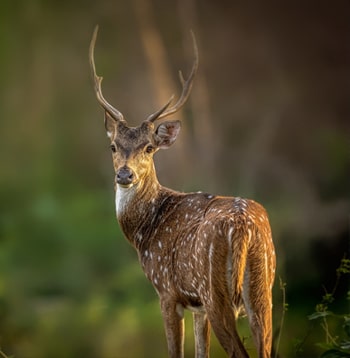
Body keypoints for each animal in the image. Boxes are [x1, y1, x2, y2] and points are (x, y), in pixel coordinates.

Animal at [89, 26, 276, 356]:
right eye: (113, 146)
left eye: (149, 147)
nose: (125, 174)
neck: (145, 231)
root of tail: (243, 227)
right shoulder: (197, 306)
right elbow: (201, 351)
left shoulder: (167, 291)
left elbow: (174, 350)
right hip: (263, 289)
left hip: (215, 291)